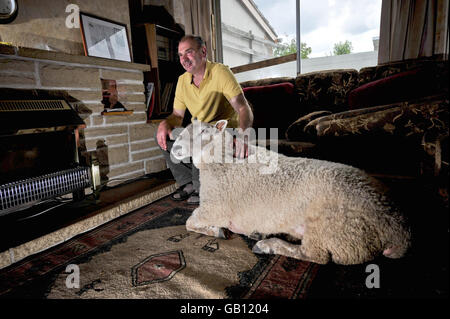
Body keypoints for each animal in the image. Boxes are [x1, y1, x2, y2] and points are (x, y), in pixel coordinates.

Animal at [170, 120, 412, 264]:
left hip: (332, 224)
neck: (220, 159)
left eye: (203, 131)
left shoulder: (214, 208)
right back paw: (262, 235)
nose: (175, 148)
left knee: (315, 255)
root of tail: (397, 227)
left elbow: (189, 222)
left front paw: (216, 231)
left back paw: (267, 245)